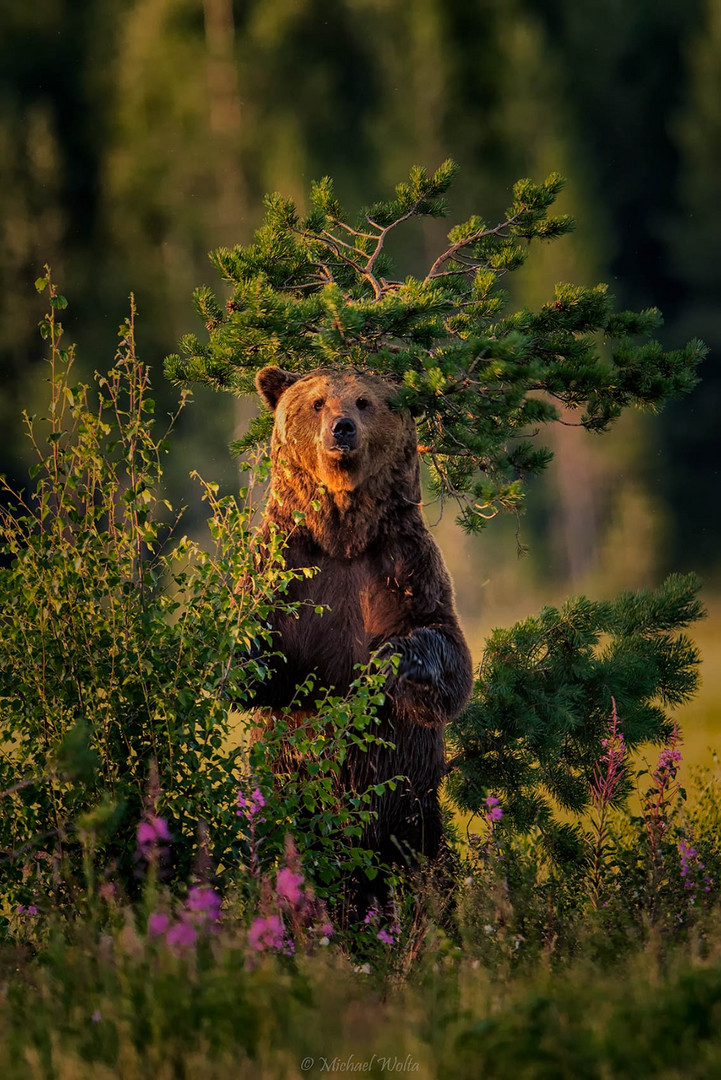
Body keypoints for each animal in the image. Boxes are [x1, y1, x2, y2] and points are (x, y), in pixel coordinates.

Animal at [250, 367, 474, 889]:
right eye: (316, 402)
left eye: (364, 401)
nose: (342, 429)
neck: (344, 535)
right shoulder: (286, 560)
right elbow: (256, 640)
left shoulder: (404, 562)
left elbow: (445, 644)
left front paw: (391, 660)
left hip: (415, 815)